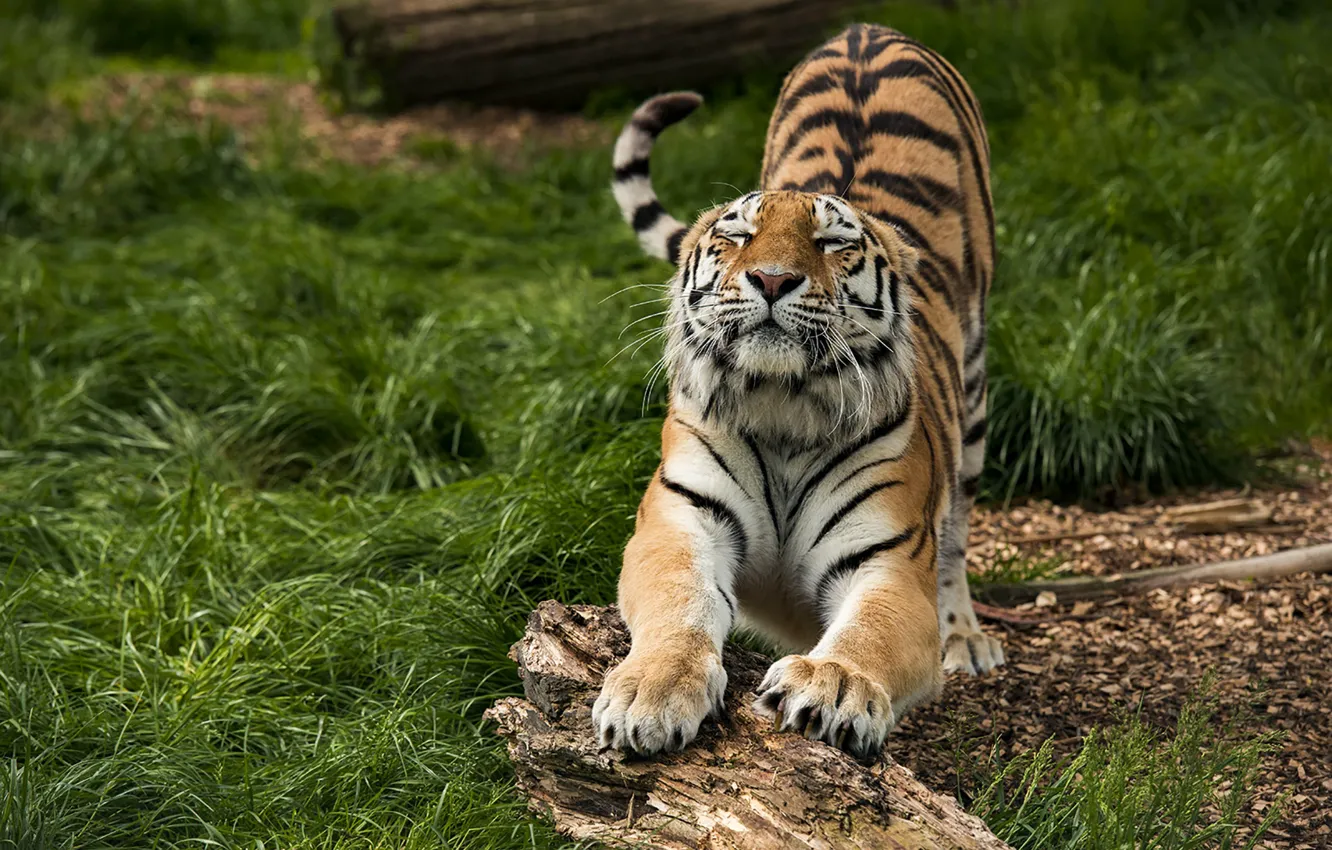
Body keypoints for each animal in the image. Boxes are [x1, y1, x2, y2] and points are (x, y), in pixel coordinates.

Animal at [594, 23, 1001, 762]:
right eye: (738, 236)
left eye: (832, 243)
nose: (773, 278)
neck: (782, 402)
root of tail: (869, 31)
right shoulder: (679, 520)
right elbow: (678, 602)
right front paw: (651, 689)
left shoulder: (889, 563)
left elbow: (872, 630)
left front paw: (833, 685)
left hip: (977, 394)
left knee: (957, 534)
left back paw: (966, 637)